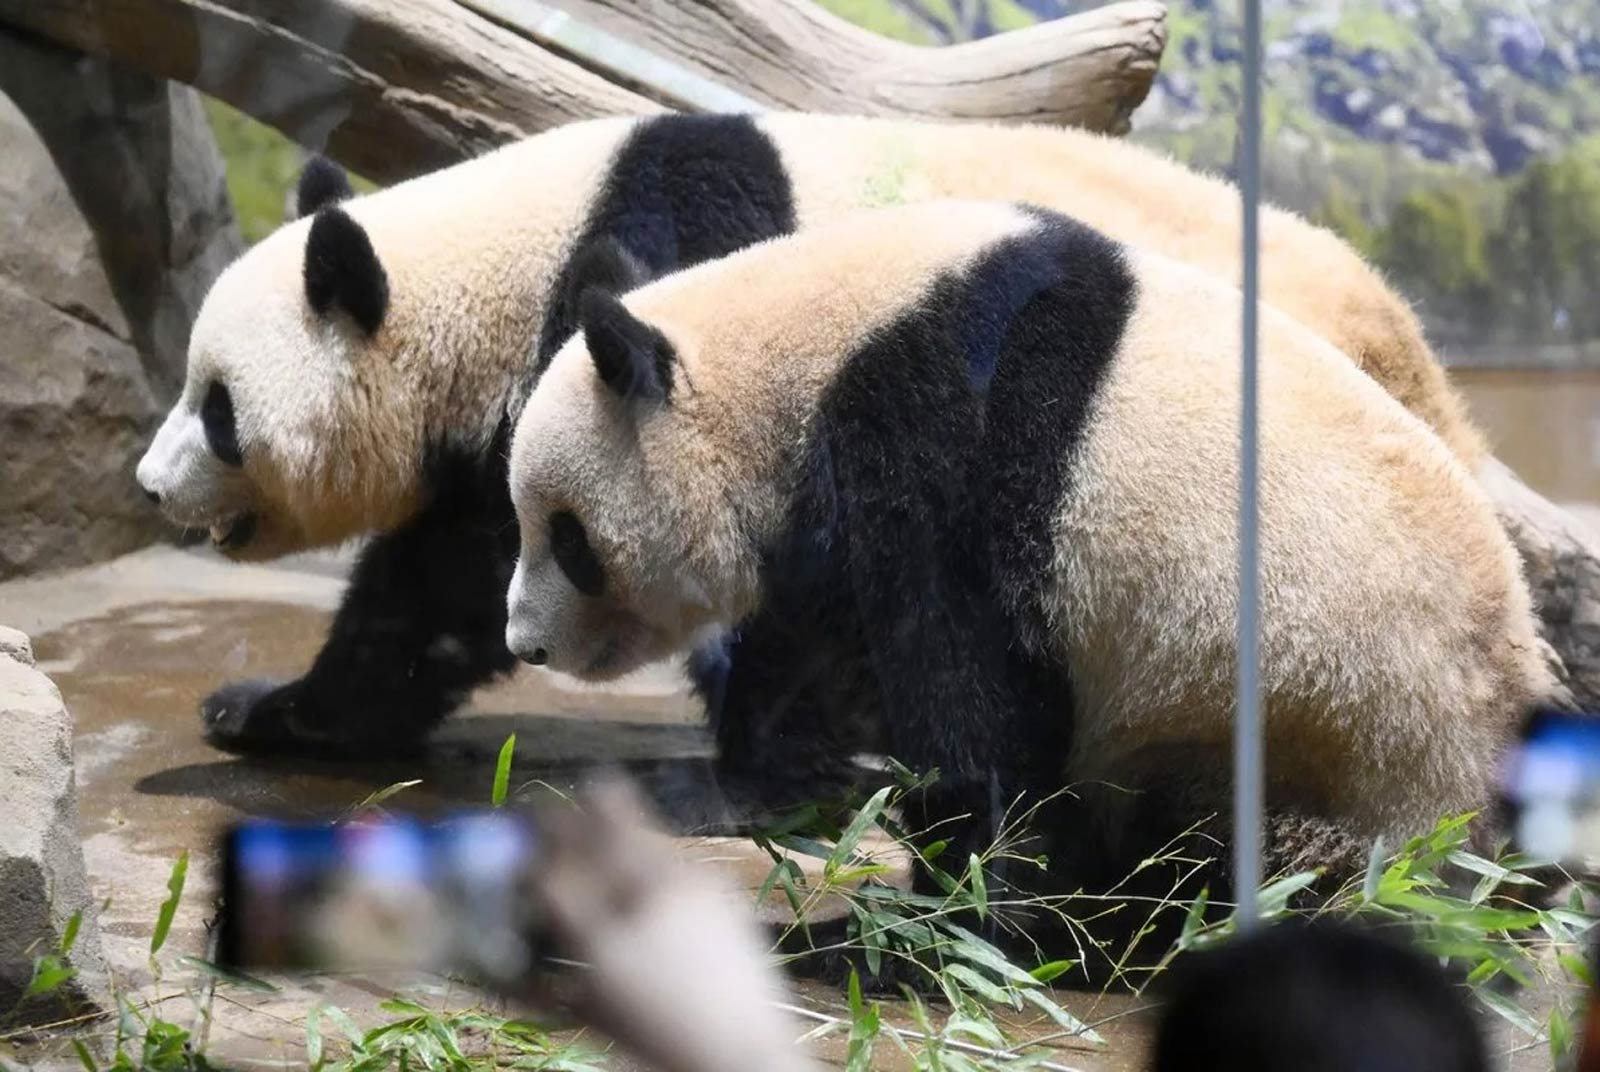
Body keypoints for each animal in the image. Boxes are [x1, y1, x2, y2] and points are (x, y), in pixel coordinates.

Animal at [135, 112, 1484, 757]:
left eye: (217, 405)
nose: (147, 487)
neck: (500, 258)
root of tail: (1403, 332)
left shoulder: (660, 285)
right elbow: (436, 582)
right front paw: (276, 712)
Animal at [504, 200, 1557, 930]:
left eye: (568, 537)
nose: (524, 643)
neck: (799, 349)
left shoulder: (939, 432)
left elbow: (970, 692)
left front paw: (949, 905)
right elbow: (814, 652)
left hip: (1330, 737)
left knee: (1244, 853)